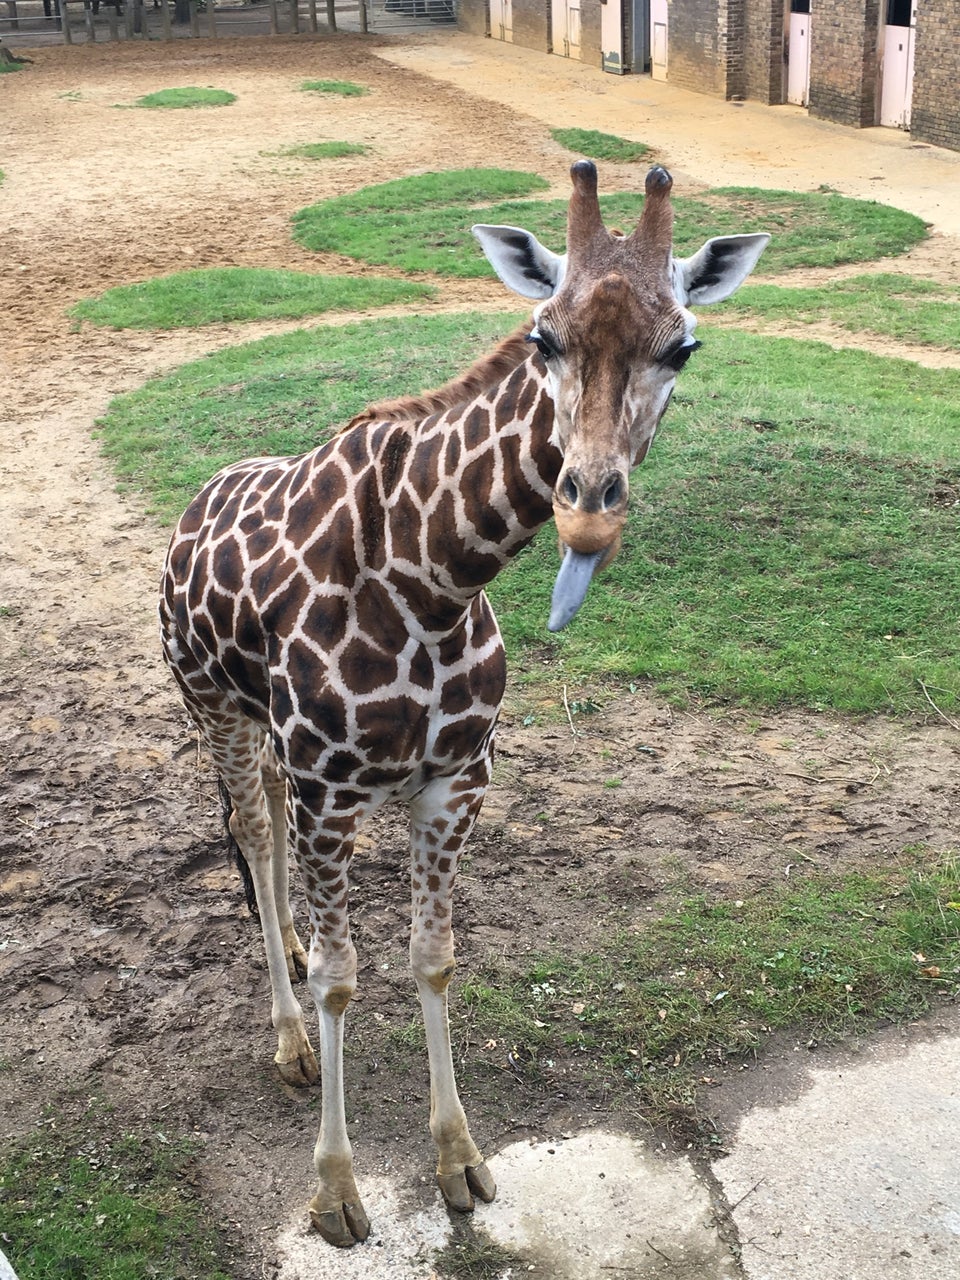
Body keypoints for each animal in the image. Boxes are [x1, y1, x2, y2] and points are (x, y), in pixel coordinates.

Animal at [161, 162, 773, 1249]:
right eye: (544, 335)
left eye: (682, 346)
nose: (586, 509)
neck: (433, 577)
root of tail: (193, 506)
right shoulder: (330, 792)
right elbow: (343, 976)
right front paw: (336, 1190)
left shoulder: (454, 778)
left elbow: (433, 957)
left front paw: (459, 1160)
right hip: (214, 707)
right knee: (252, 835)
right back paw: (286, 1041)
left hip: (272, 740)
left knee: (264, 834)